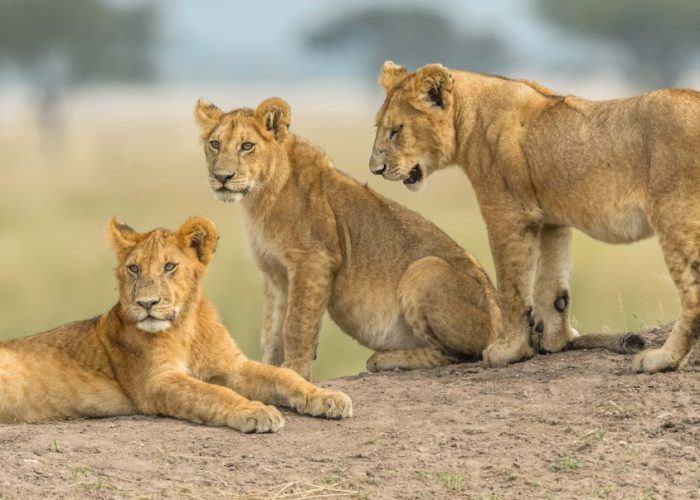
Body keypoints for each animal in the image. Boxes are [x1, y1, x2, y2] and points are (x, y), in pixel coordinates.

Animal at [0, 217, 351, 431]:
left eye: (169, 266)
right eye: (133, 269)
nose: (146, 304)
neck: (186, 327)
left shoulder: (230, 365)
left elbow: (283, 375)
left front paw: (327, 398)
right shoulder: (157, 381)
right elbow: (212, 394)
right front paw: (256, 411)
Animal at [193, 97, 640, 380]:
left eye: (247, 146)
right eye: (214, 144)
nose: (222, 177)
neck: (259, 199)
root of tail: (510, 325)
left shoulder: (314, 260)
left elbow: (297, 326)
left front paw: (296, 374)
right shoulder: (275, 274)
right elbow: (271, 330)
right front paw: (268, 371)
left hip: (424, 271)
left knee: (458, 355)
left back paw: (388, 359)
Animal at [369, 61, 699, 373]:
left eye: (395, 131)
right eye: (379, 129)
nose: (375, 170)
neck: (469, 120)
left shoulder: (508, 214)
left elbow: (513, 287)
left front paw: (511, 350)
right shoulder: (553, 220)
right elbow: (553, 286)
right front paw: (555, 342)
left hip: (675, 216)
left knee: (693, 296)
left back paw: (663, 359)